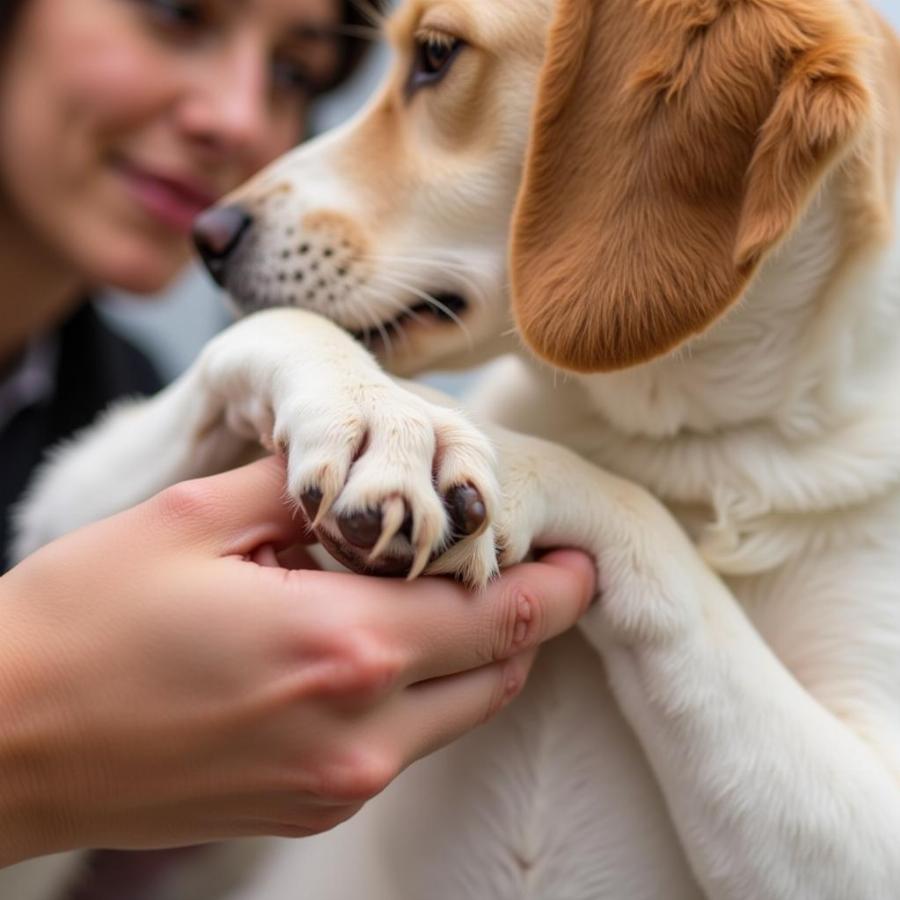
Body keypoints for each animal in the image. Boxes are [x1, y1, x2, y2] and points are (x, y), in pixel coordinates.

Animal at [5, 0, 900, 896]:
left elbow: (648, 525)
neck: (683, 446)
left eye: (435, 55)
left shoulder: (868, 821)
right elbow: (278, 334)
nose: (208, 235)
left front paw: (501, 459)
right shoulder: (66, 502)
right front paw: (382, 415)